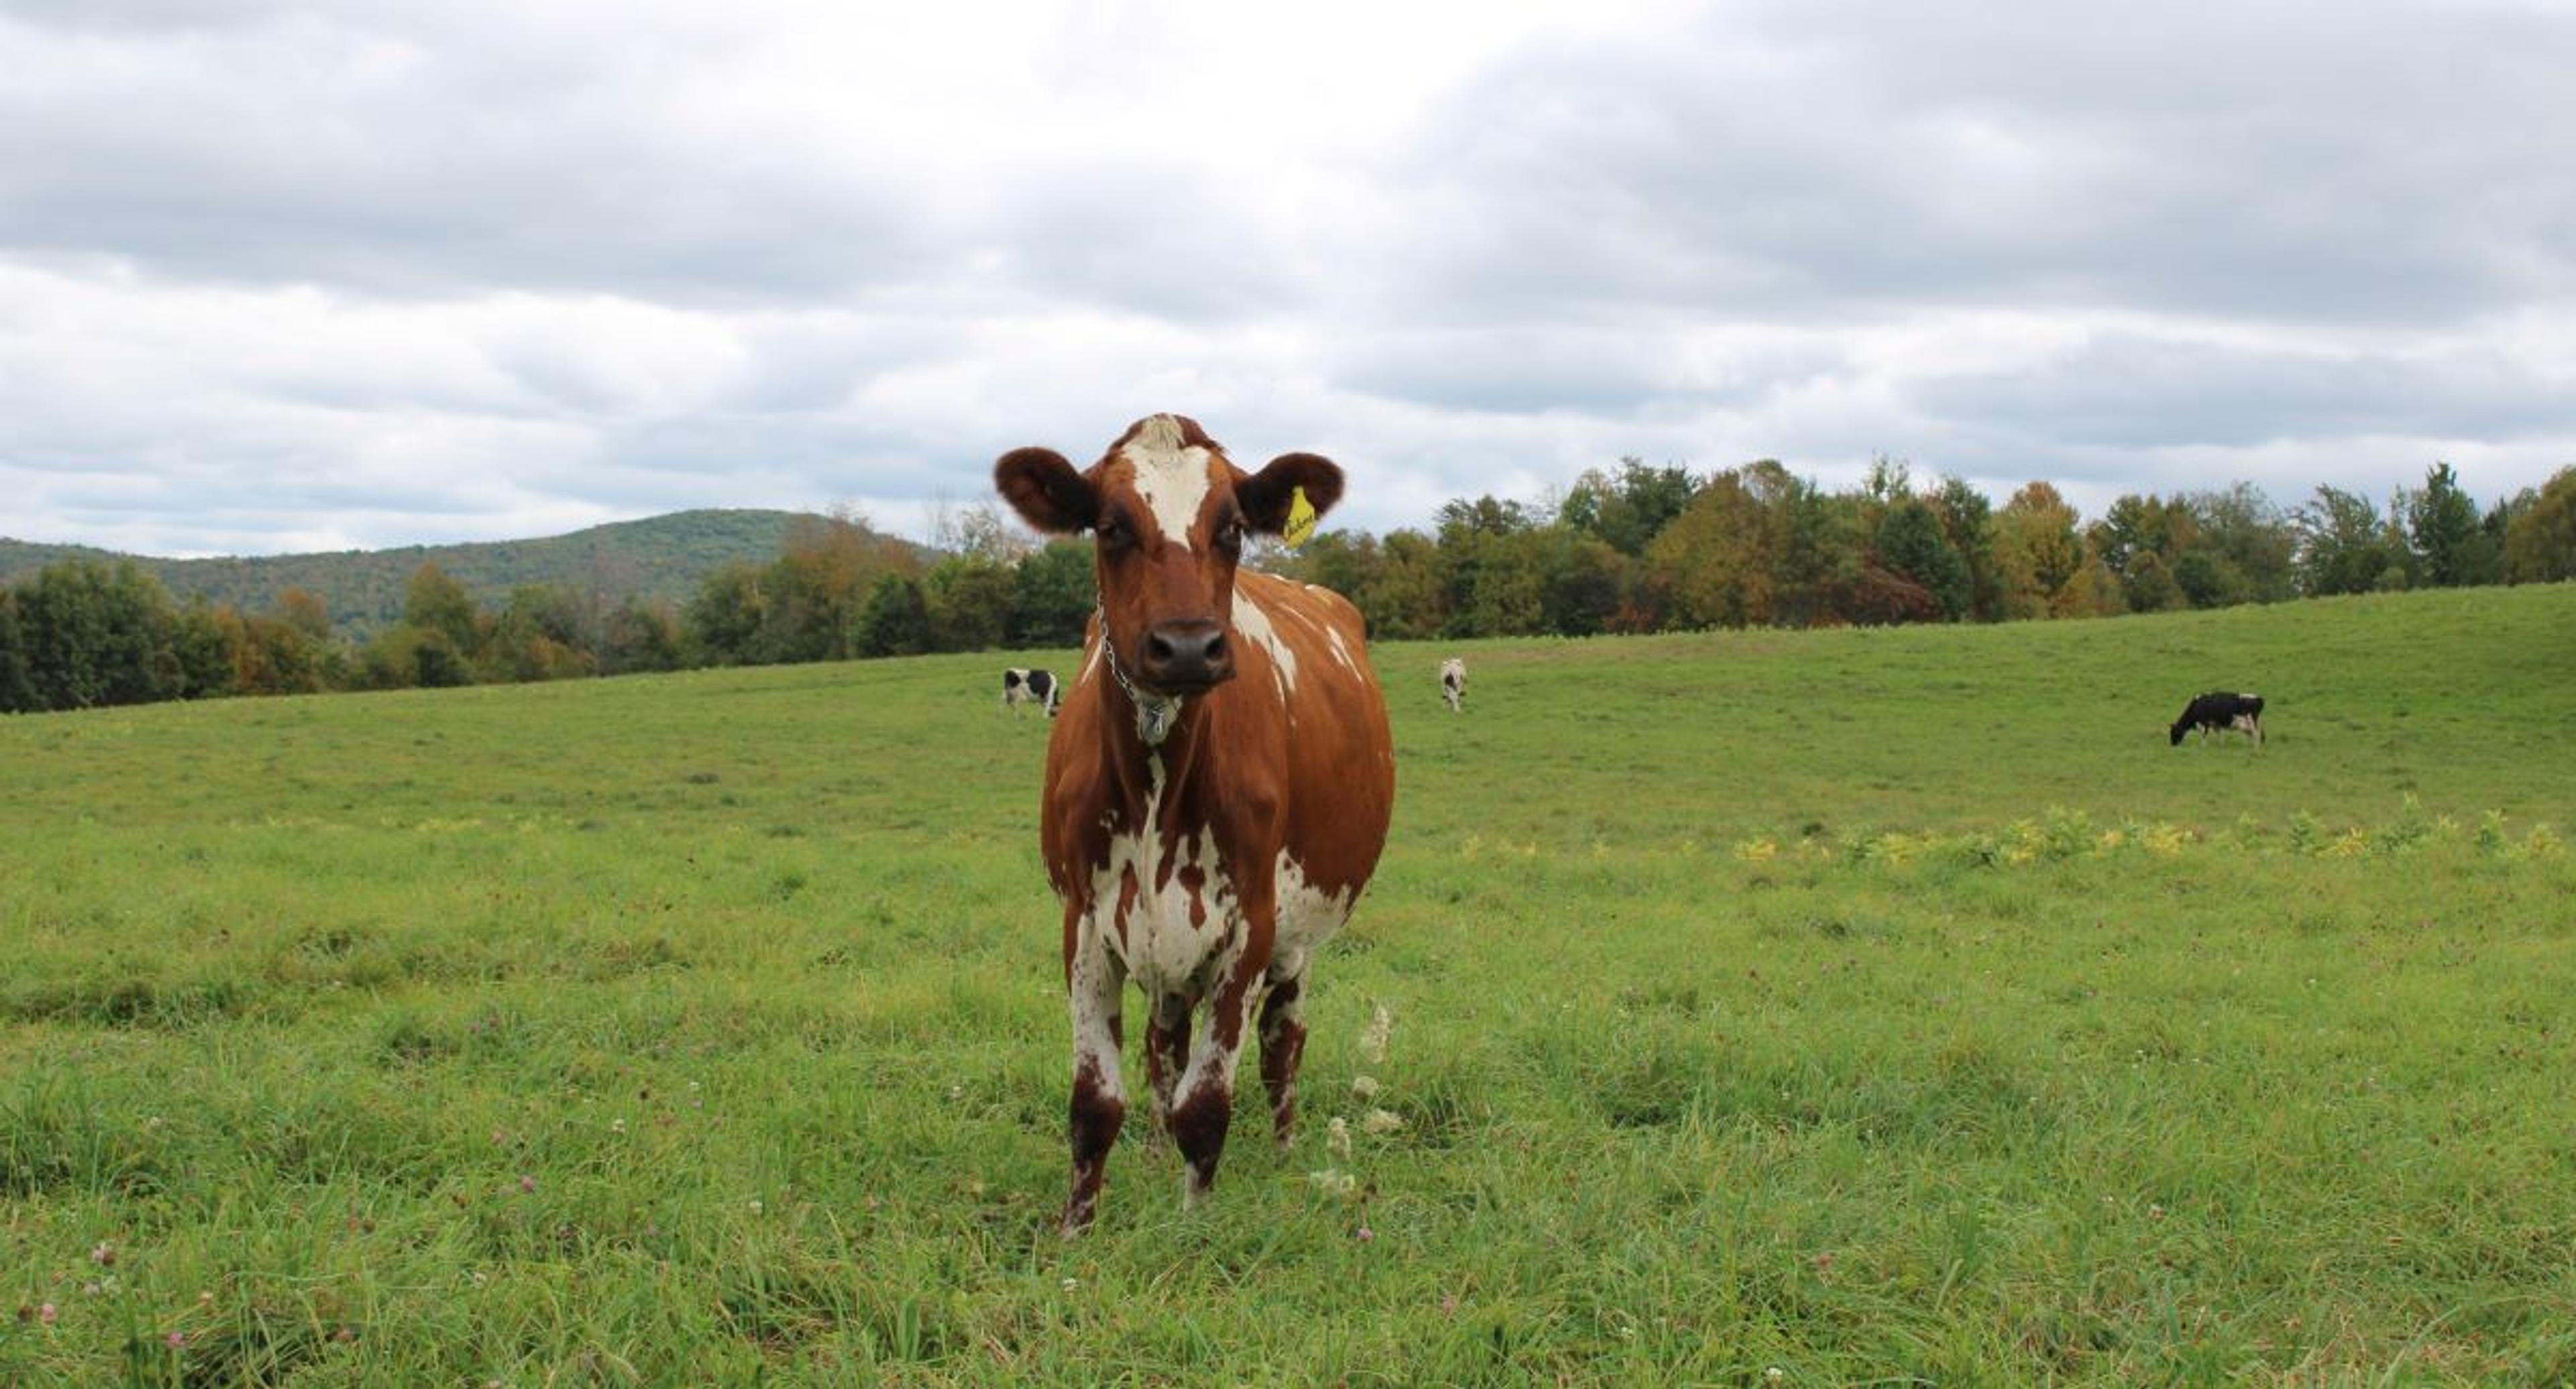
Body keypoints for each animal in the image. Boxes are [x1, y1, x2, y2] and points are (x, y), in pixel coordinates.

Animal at [994, 413, 1396, 1234]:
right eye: (1111, 525)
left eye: (1233, 528)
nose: (1186, 646)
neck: (1157, 779)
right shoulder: (1085, 922)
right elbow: (1095, 1104)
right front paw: (1075, 1231)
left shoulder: (1251, 926)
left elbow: (1206, 1106)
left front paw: (1194, 1224)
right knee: (1164, 1044)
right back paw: (1152, 1155)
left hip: (1298, 940)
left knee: (1282, 1042)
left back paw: (1281, 1151)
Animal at [2171, 691, 2265, 747]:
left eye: (2175, 733)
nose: (2173, 744)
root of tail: (2259, 698)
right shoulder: (2215, 724)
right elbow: (2219, 734)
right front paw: (2221, 745)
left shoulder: (2205, 722)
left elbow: (2204, 734)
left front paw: (2203, 746)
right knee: (2251, 734)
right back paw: (2249, 745)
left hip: (2251, 722)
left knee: (2256, 734)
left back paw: (2255, 747)